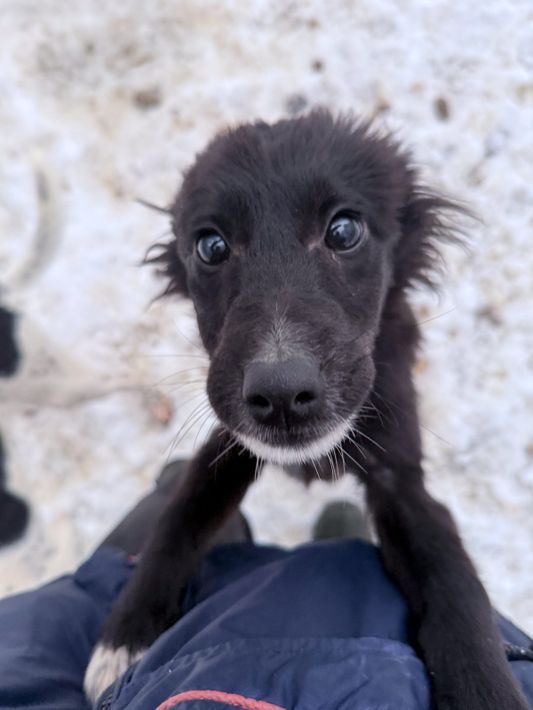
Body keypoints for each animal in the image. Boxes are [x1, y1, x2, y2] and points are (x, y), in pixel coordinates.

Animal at [85, 110, 529, 709]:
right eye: (211, 246)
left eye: (343, 231)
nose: (281, 394)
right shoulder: (229, 442)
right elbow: (179, 516)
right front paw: (126, 634)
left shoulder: (400, 478)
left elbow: (457, 586)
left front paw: (486, 687)